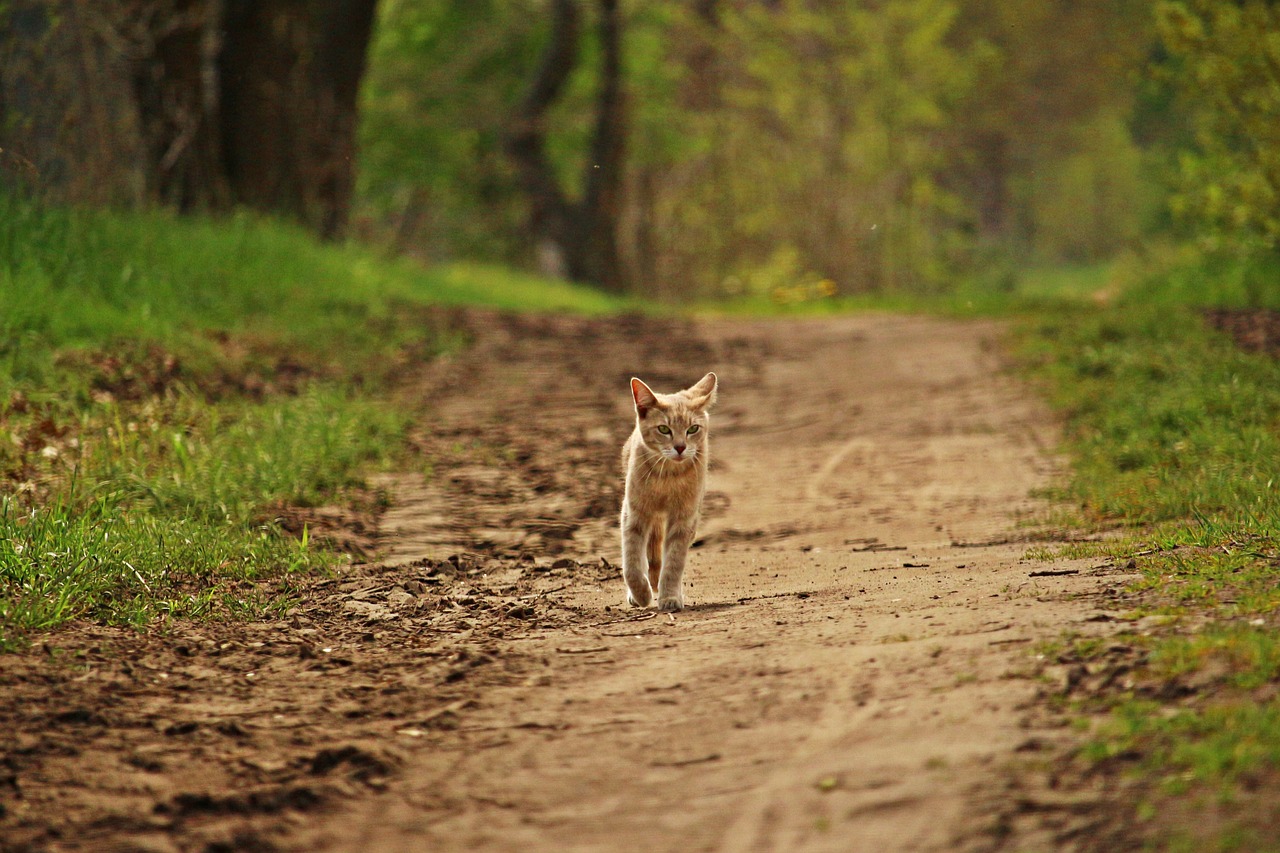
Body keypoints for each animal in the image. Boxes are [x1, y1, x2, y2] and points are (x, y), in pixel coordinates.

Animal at [616, 368, 716, 607]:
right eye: (664, 429)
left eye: (692, 429)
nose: (680, 447)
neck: (667, 478)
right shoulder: (634, 514)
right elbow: (631, 562)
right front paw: (641, 593)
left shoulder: (684, 519)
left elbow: (673, 562)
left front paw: (670, 595)